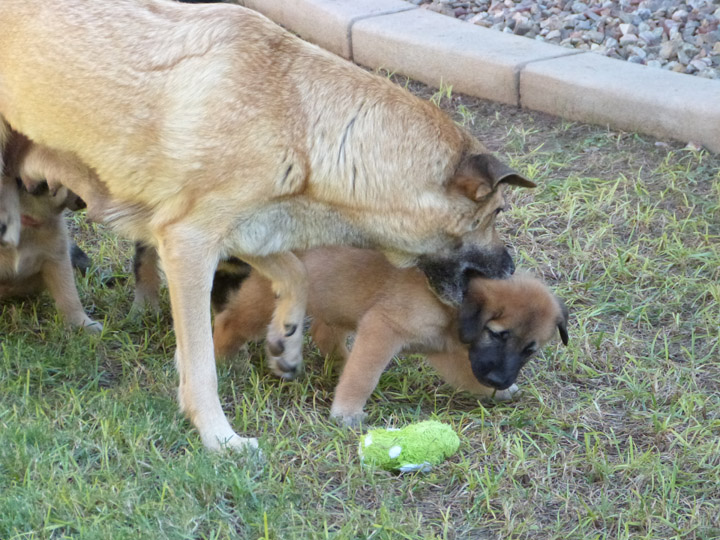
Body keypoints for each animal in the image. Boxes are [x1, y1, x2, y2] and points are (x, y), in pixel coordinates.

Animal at [211, 246, 572, 426]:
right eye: (497, 335)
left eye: (529, 350)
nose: (499, 379)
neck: (449, 304)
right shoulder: (383, 327)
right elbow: (364, 376)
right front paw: (347, 412)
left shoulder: (445, 351)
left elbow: (468, 375)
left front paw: (500, 392)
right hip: (267, 302)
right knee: (229, 322)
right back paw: (221, 361)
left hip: (340, 299)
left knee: (324, 333)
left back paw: (340, 363)